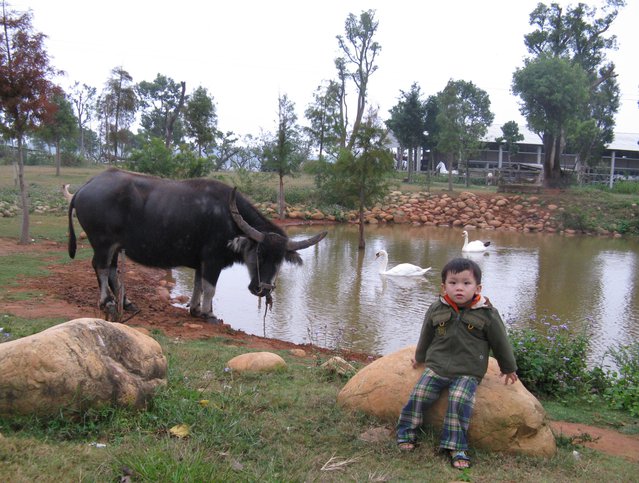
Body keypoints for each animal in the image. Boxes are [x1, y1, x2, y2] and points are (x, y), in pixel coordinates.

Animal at [68, 168, 328, 324]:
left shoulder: (200, 262)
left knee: (112, 270)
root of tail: (84, 188)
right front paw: (209, 314)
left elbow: (198, 285)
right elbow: (210, 288)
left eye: (279, 259)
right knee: (101, 267)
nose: (262, 290)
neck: (229, 219)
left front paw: (194, 309)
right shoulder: (212, 260)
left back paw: (126, 303)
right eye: (258, 253)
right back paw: (108, 303)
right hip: (103, 243)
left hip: (114, 246)